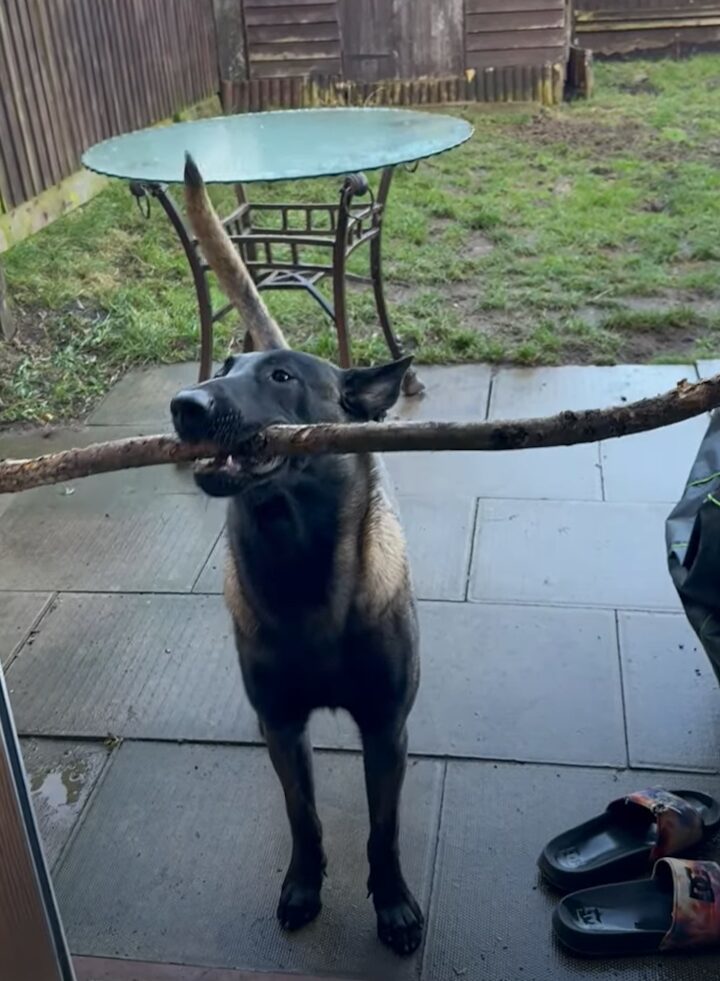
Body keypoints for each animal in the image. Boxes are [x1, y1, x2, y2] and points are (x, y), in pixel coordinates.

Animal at [169, 157, 424, 952]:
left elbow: (384, 829)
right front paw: (304, 887)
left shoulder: (386, 728)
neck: (300, 560)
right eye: (224, 363)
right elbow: (303, 817)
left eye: (281, 377)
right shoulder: (281, 727)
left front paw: (393, 903)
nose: (184, 405)